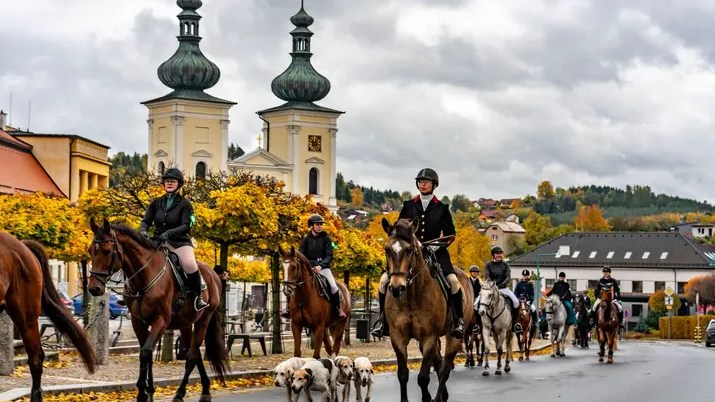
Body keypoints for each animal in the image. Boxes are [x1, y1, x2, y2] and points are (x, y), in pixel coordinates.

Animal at [88, 220, 227, 402]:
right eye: (90, 251)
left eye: (107, 251)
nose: (94, 288)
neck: (144, 277)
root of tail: (213, 275)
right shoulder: (138, 322)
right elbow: (146, 354)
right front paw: (149, 392)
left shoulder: (160, 321)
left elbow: (146, 352)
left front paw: (142, 392)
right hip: (185, 325)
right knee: (195, 354)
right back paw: (205, 390)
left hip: (203, 321)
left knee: (191, 356)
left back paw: (180, 393)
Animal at [380, 220, 476, 402]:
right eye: (387, 249)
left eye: (409, 250)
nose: (396, 287)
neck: (411, 296)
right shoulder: (397, 336)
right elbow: (403, 374)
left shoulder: (429, 337)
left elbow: (423, 377)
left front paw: (427, 397)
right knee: (438, 363)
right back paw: (443, 395)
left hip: (453, 336)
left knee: (445, 369)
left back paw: (438, 397)